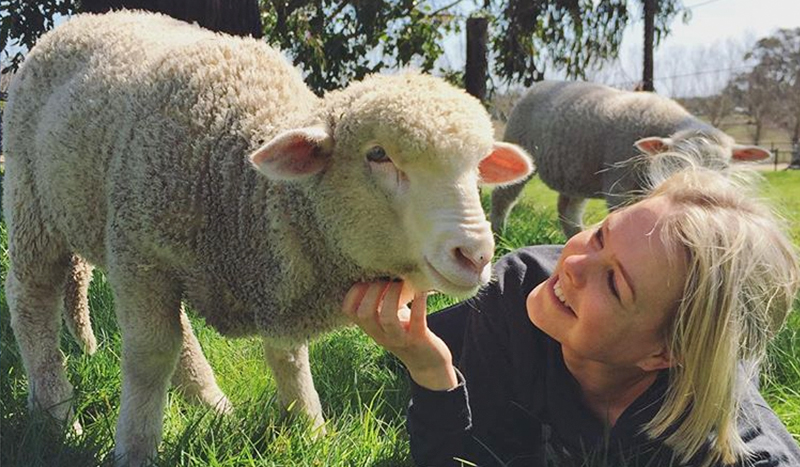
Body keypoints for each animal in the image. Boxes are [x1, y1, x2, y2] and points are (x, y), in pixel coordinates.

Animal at [4, 11, 532, 467]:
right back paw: (57, 414)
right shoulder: (142, 253)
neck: (243, 181)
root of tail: (84, 20)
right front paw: (135, 450)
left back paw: (213, 405)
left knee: (172, 328)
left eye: (478, 165)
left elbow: (287, 356)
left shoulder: (277, 275)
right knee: (32, 298)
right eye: (378, 154)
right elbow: (151, 356)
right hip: (31, 200)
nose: (476, 254)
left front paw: (311, 430)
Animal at [490, 80, 772, 238]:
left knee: (567, 210)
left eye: (724, 167)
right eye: (676, 164)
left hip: (576, 170)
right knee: (503, 197)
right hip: (519, 143)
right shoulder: (620, 186)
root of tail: (539, 85)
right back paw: (499, 233)